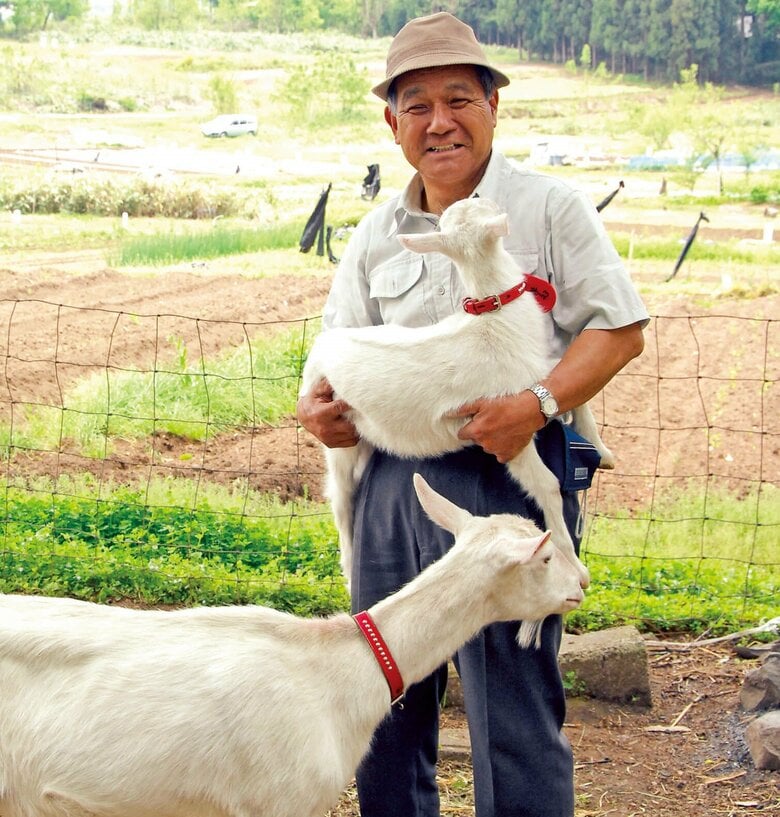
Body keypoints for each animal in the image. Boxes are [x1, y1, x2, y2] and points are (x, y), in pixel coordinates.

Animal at [302, 196, 612, 588]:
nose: (479, 197)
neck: (493, 316)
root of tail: (325, 342)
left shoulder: (535, 378)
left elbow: (576, 397)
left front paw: (604, 451)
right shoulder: (507, 427)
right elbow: (547, 486)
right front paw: (575, 567)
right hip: (338, 437)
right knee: (341, 500)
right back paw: (347, 564)